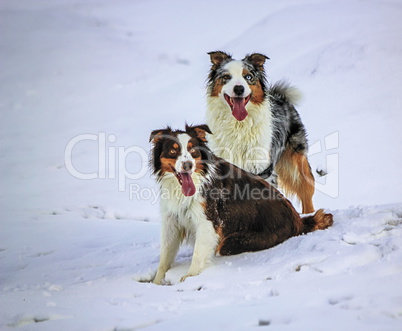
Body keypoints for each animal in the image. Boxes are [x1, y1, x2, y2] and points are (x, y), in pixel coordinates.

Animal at [149, 125, 332, 286]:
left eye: (193, 151)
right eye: (173, 151)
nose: (188, 165)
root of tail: (298, 220)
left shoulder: (208, 222)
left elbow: (198, 254)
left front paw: (189, 277)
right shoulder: (172, 221)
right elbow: (165, 256)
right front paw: (156, 283)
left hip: (235, 241)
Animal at [206, 51, 316, 214]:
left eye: (248, 76)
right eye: (226, 77)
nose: (239, 89)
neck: (238, 126)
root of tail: (281, 97)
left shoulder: (262, 169)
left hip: (295, 164)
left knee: (306, 191)